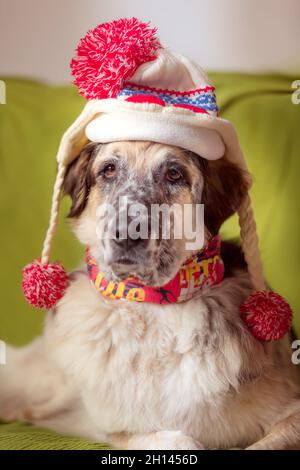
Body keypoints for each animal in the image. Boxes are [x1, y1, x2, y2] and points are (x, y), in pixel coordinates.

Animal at [0, 141, 300, 450]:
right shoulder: (116, 427)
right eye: (109, 169)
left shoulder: (290, 407)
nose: (126, 234)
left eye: (174, 174)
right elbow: (169, 439)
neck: (156, 306)